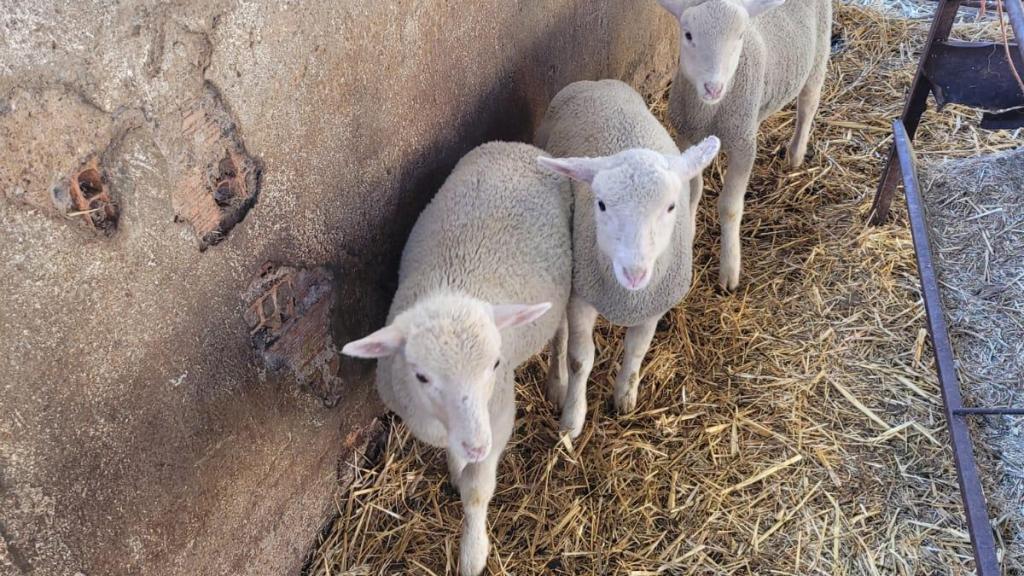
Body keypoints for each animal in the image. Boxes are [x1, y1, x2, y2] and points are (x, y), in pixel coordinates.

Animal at [339, 141, 573, 569]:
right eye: (422, 376)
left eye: (495, 364)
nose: (477, 446)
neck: (450, 288)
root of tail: (518, 146)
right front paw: (455, 467)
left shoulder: (499, 417)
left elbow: (477, 491)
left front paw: (473, 554)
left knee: (561, 330)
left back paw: (558, 382)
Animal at [536, 79, 720, 434]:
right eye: (601, 204)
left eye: (671, 206)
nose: (634, 273)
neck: (627, 299)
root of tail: (598, 83)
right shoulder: (582, 295)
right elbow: (580, 359)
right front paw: (572, 421)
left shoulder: (653, 303)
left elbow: (637, 350)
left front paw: (624, 397)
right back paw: (556, 384)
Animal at [655, 0, 831, 289]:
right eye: (688, 35)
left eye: (739, 36)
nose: (713, 87)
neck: (710, 112)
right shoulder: (687, 136)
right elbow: (692, 192)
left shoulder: (743, 146)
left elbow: (729, 207)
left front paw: (729, 271)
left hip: (818, 55)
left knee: (808, 104)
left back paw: (795, 155)